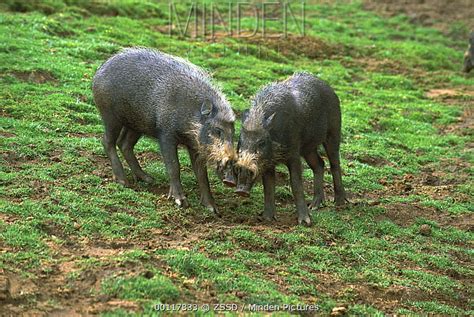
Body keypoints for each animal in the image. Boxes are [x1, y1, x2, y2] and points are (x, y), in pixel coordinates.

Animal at [91, 48, 236, 212]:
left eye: (233, 133)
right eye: (217, 130)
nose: (231, 180)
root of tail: (98, 72)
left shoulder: (194, 145)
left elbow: (201, 175)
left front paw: (213, 209)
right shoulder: (166, 134)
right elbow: (174, 166)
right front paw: (181, 202)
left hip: (136, 124)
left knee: (124, 144)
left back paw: (148, 179)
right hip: (110, 115)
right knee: (107, 141)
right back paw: (123, 181)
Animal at [235, 71, 346, 225]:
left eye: (262, 142)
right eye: (240, 141)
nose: (240, 190)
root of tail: (328, 87)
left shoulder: (293, 152)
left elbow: (296, 184)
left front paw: (305, 222)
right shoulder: (269, 161)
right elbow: (268, 187)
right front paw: (266, 219)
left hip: (334, 131)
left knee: (334, 163)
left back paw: (339, 203)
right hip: (308, 148)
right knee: (319, 164)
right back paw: (314, 206)